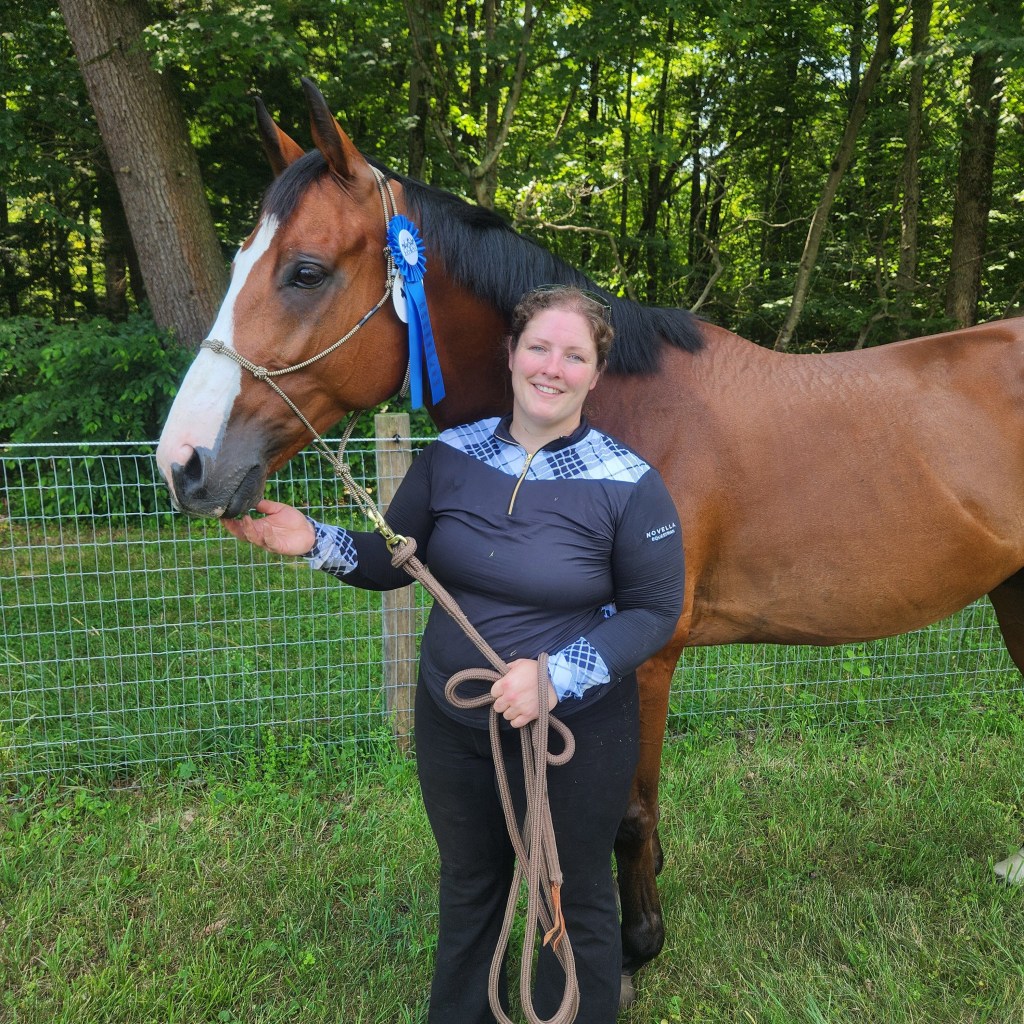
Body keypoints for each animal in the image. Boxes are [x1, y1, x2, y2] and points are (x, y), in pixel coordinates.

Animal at [156, 78, 1024, 1002]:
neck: (612, 406)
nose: (184, 463)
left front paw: (634, 951)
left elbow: (627, 814)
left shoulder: (640, 657)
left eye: (306, 271)